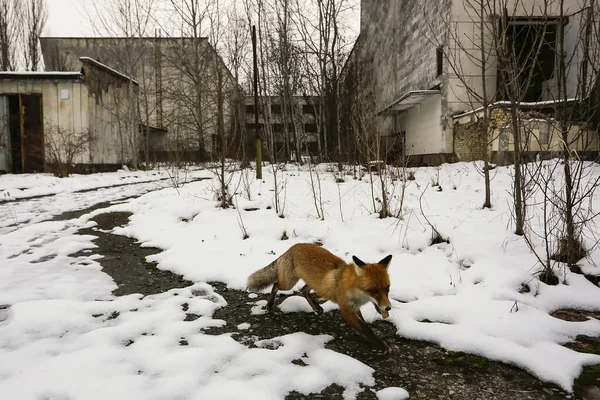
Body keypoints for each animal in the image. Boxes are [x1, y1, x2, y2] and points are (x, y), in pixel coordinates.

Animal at [247, 242, 394, 352]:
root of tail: (292, 247)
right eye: (373, 291)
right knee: (276, 285)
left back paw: (316, 307)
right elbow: (365, 328)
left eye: (387, 289)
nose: (388, 308)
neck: (352, 288)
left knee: (303, 290)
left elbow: (363, 324)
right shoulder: (346, 310)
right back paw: (269, 305)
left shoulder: (354, 307)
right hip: (288, 283)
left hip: (312, 283)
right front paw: (380, 345)